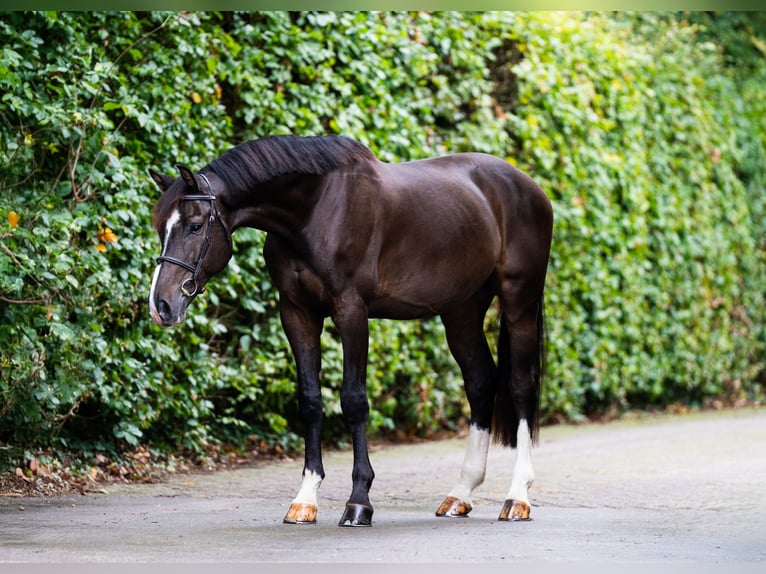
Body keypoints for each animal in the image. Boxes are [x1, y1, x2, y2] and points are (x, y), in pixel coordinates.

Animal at [148, 134, 553, 527]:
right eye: (159, 227)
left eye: (195, 225)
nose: (161, 305)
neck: (315, 211)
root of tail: (531, 186)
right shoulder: (296, 312)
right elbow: (310, 400)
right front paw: (305, 500)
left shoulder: (351, 311)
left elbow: (354, 400)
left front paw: (359, 502)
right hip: (462, 312)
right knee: (481, 383)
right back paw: (460, 495)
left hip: (519, 301)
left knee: (520, 386)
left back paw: (517, 497)